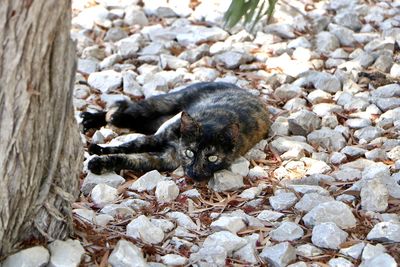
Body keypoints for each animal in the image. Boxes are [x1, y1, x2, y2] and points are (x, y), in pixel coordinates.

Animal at [83, 82, 272, 182]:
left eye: (212, 158)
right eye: (190, 152)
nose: (195, 174)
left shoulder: (164, 159)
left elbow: (130, 159)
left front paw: (99, 163)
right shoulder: (157, 138)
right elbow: (130, 145)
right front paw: (98, 150)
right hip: (164, 102)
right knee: (125, 110)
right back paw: (93, 118)